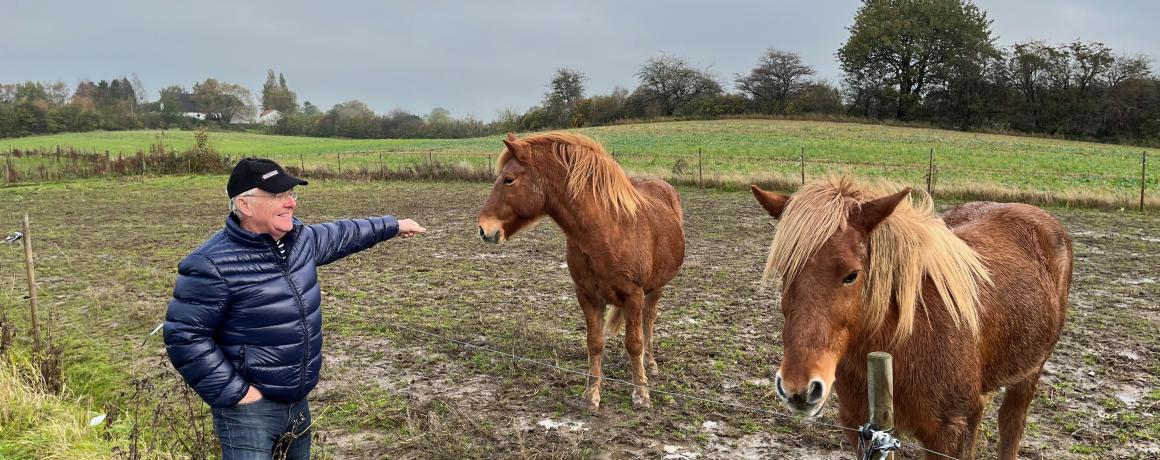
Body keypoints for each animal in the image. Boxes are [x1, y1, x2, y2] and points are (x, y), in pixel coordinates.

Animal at [475, 131, 682, 407]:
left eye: (509, 180)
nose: (483, 229)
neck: (608, 230)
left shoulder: (634, 294)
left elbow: (635, 343)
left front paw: (641, 393)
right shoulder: (587, 295)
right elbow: (595, 343)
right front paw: (591, 394)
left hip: (656, 288)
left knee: (648, 322)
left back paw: (650, 364)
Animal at [751, 173, 1067, 456]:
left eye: (851, 275)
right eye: (785, 272)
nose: (798, 388)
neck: (910, 336)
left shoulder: (945, 435)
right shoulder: (863, 430)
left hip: (1029, 373)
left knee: (1011, 422)